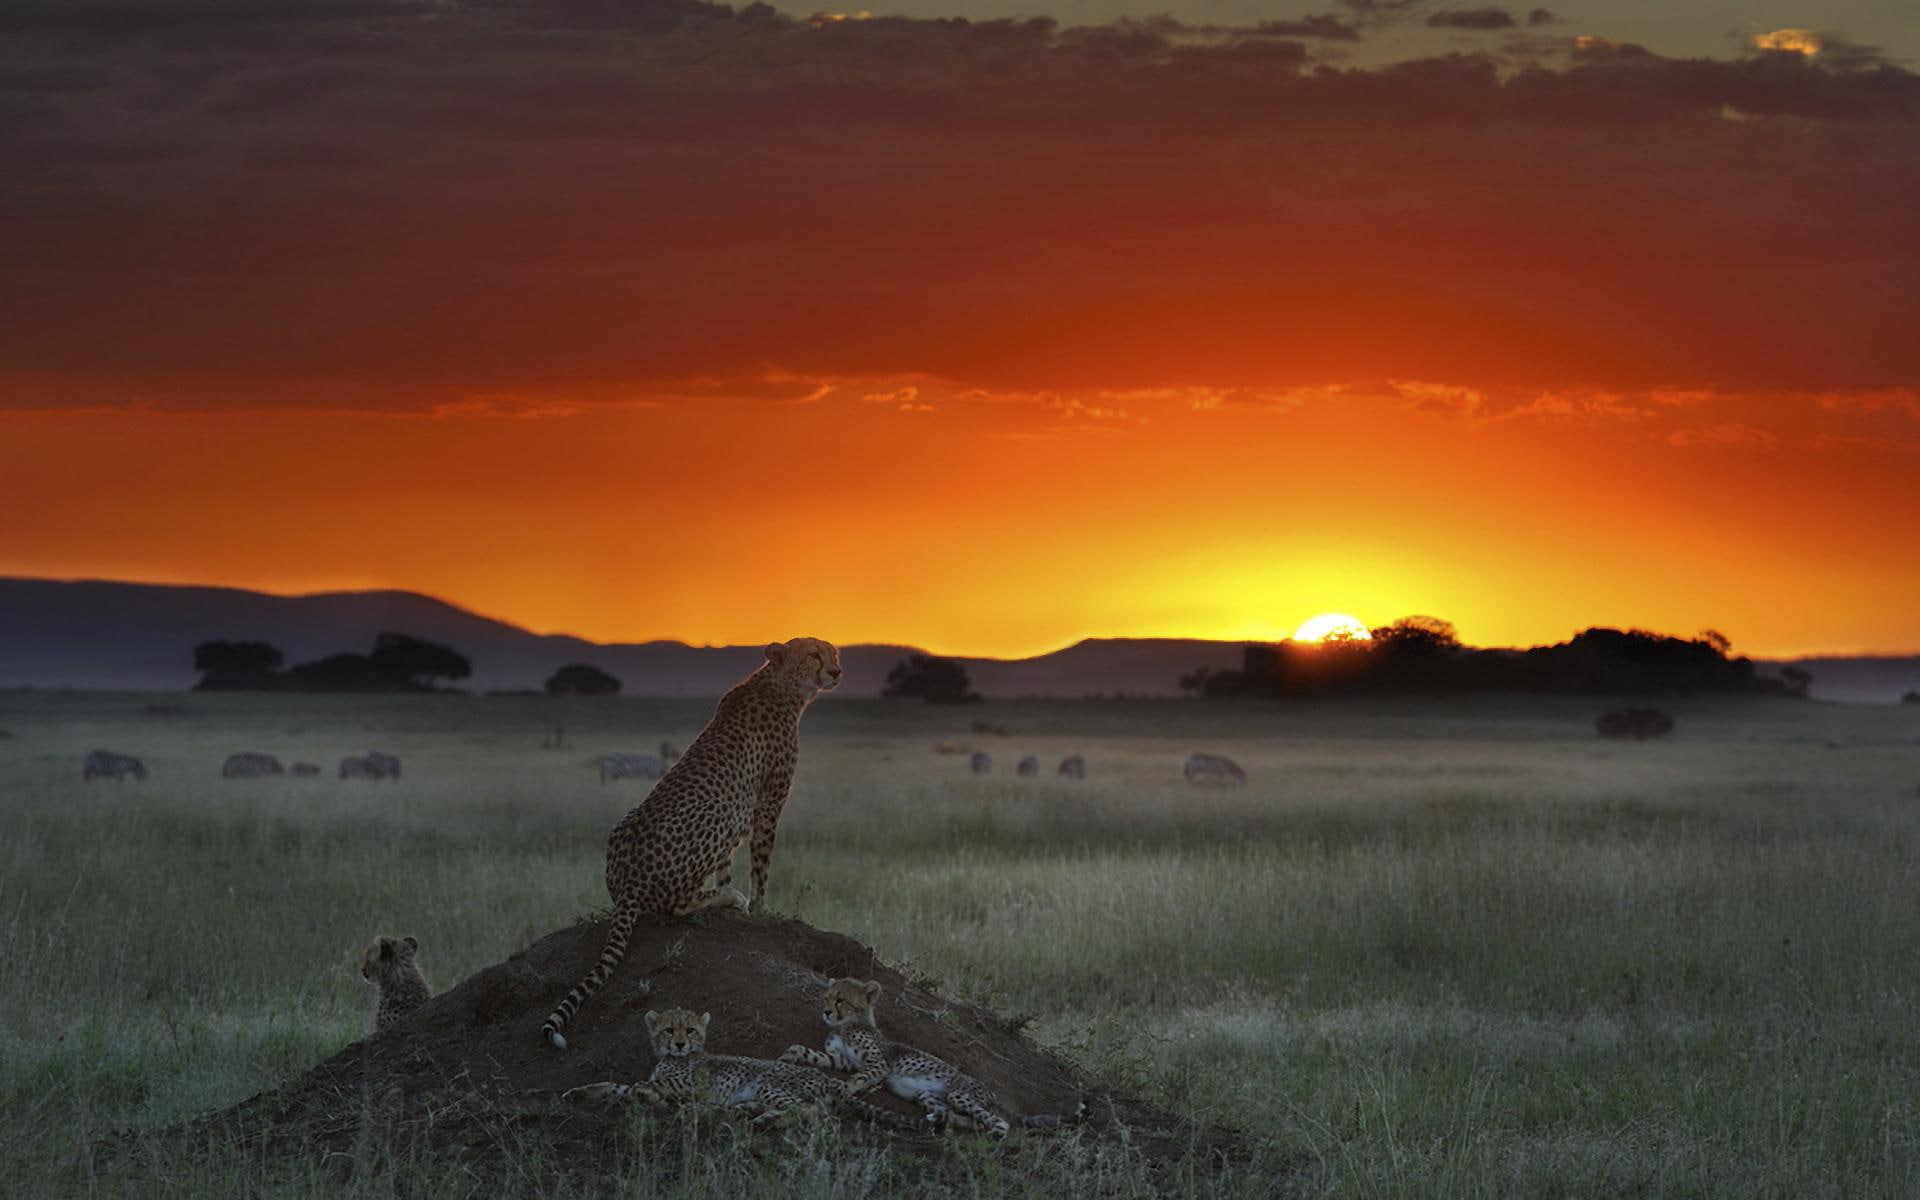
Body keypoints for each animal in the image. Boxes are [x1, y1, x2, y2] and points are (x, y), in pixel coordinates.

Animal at [542, 638, 841, 1049]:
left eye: (834, 652)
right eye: (813, 654)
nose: (837, 671)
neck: (781, 685)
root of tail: (628, 883)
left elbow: (727, 866)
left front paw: (733, 897)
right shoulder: (766, 806)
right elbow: (761, 868)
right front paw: (758, 909)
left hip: (631, 822)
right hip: (718, 810)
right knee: (676, 905)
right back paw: (727, 899)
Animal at [561, 1008, 917, 1129]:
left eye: (690, 1030)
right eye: (669, 1030)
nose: (679, 1044)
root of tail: (830, 1080)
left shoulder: (689, 1085)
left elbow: (644, 1088)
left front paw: (651, 1097)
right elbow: (613, 1086)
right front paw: (576, 1093)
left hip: (768, 1085)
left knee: (812, 1112)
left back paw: (767, 1119)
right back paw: (743, 1111)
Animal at [781, 977, 1086, 1137]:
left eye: (841, 1000)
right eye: (827, 997)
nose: (826, 1012)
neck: (848, 1025)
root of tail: (993, 1094)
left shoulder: (877, 1064)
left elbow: (859, 1077)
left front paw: (845, 1088)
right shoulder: (842, 1060)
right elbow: (815, 1055)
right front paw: (790, 1054)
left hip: (960, 1093)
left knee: (997, 1120)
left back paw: (996, 1132)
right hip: (928, 1096)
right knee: (961, 1117)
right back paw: (939, 1121)